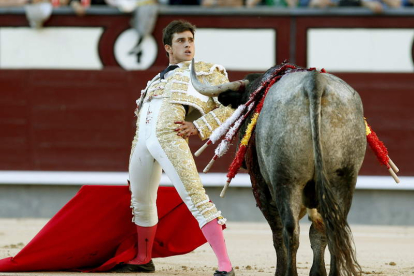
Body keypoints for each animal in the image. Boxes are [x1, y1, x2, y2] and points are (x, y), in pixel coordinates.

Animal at [191, 62, 366, 276]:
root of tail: (315, 83)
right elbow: (318, 232)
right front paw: (317, 272)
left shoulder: (262, 188)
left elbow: (278, 233)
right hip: (344, 179)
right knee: (334, 227)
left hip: (286, 180)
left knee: (290, 230)